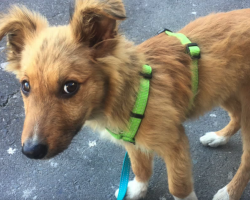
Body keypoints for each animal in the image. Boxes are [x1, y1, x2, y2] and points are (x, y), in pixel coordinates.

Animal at [0, 0, 250, 200]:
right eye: (25, 86)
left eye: (70, 87)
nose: (31, 152)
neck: (127, 93)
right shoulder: (132, 139)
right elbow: (140, 166)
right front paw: (139, 189)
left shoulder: (174, 143)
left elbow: (178, 186)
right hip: (224, 89)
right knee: (236, 116)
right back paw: (219, 137)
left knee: (247, 158)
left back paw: (229, 193)